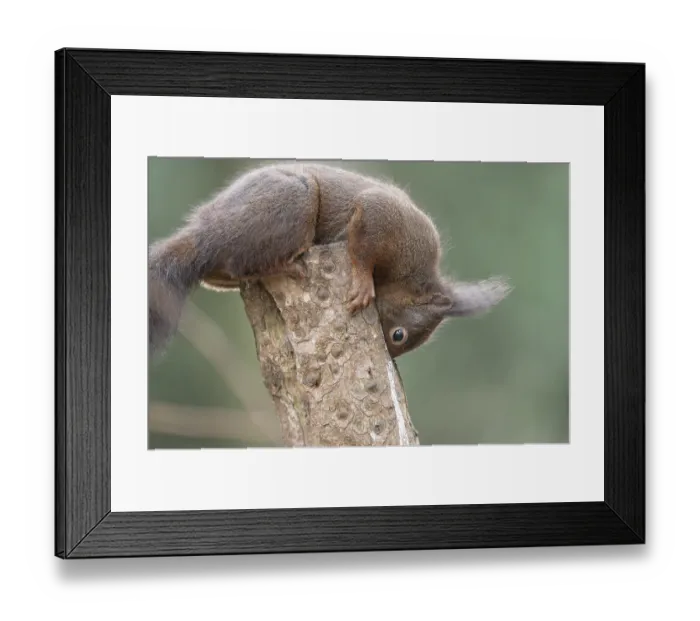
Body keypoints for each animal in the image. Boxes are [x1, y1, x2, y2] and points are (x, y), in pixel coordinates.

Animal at [148, 162, 512, 359]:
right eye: (399, 336)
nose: (390, 357)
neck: (408, 275)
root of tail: (205, 233)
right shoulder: (383, 218)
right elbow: (362, 248)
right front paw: (363, 285)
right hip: (294, 202)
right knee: (245, 263)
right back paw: (288, 265)